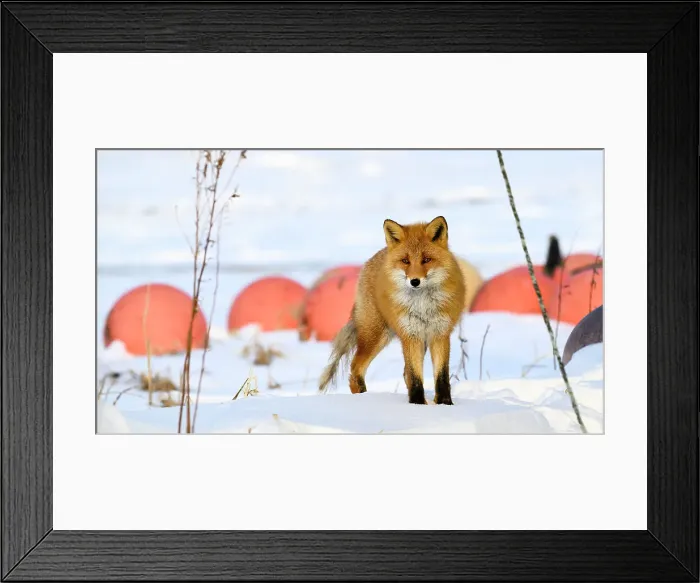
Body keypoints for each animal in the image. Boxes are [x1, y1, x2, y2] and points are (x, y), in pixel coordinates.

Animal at [318, 215, 466, 405]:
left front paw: (444, 405)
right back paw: (363, 398)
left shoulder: (440, 334)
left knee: (404, 373)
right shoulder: (410, 335)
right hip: (376, 335)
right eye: (406, 261)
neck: (423, 305)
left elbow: (441, 377)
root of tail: (375, 256)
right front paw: (417, 404)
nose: (414, 281)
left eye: (426, 260)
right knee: (356, 367)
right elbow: (416, 377)